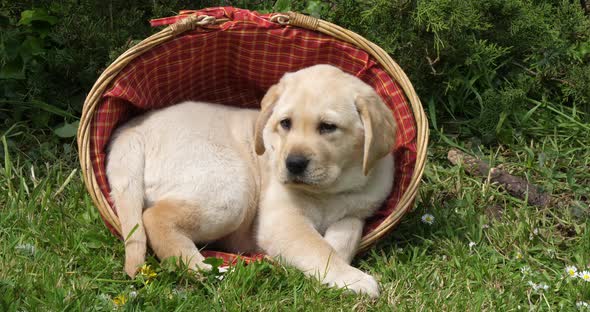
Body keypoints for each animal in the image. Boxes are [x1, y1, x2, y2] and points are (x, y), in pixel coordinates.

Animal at [106, 64, 398, 298]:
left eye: (328, 127)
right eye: (285, 123)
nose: (293, 164)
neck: (330, 190)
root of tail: (134, 131)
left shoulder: (358, 212)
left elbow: (344, 236)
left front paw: (338, 261)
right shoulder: (282, 219)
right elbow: (315, 247)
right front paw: (352, 278)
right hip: (233, 188)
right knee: (155, 217)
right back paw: (203, 269)